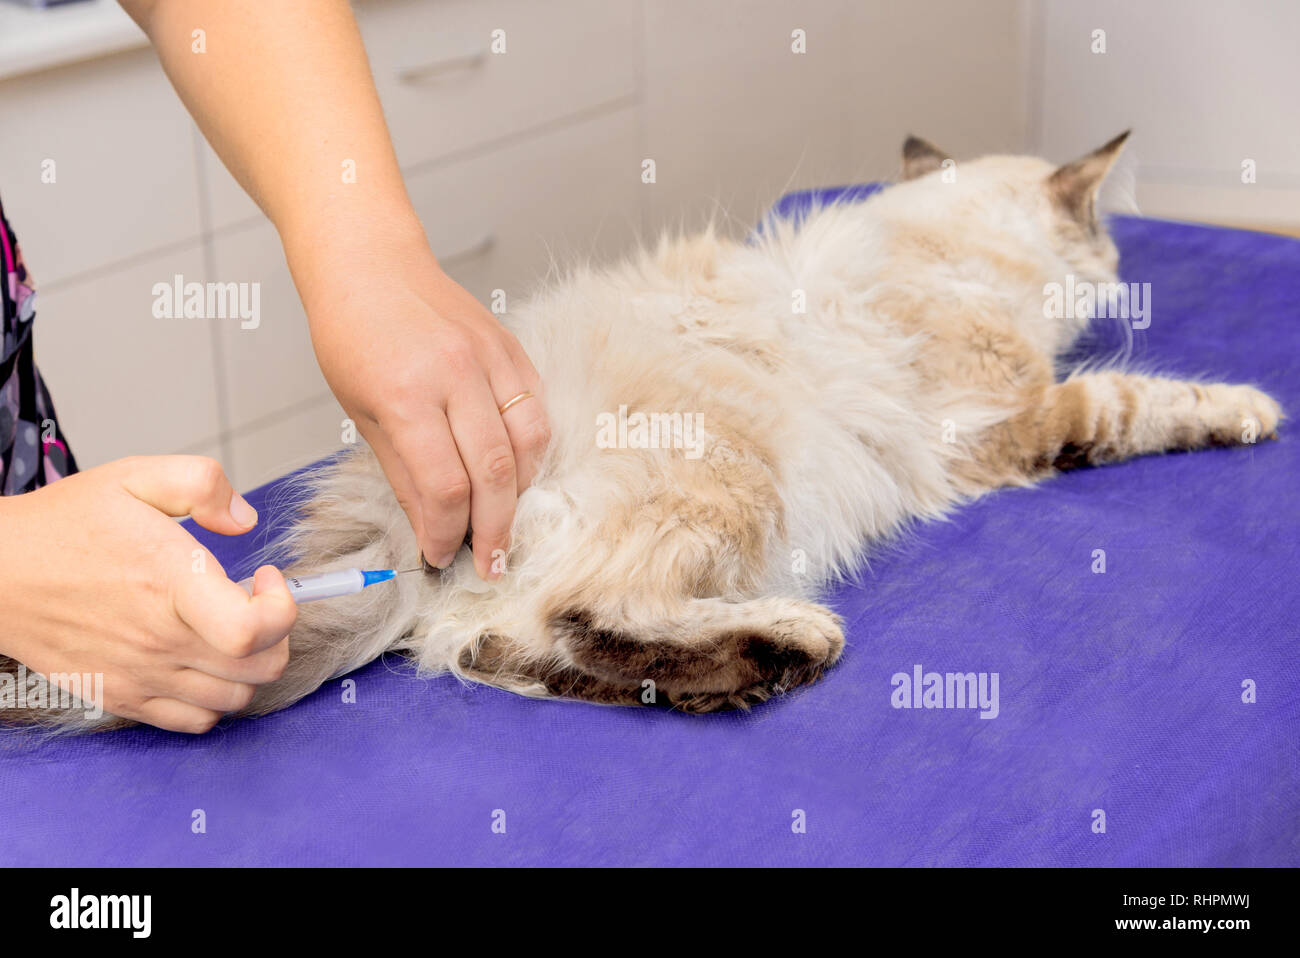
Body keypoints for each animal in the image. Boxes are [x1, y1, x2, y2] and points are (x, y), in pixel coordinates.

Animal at [2, 132, 1279, 733]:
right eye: (1106, 237)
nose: (1115, 263)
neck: (942, 240)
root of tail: (396, 533)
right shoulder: (1012, 419)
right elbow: (1142, 397)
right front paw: (1254, 408)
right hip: (730, 483)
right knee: (579, 615)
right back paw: (786, 648)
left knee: (497, 649)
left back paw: (730, 676)